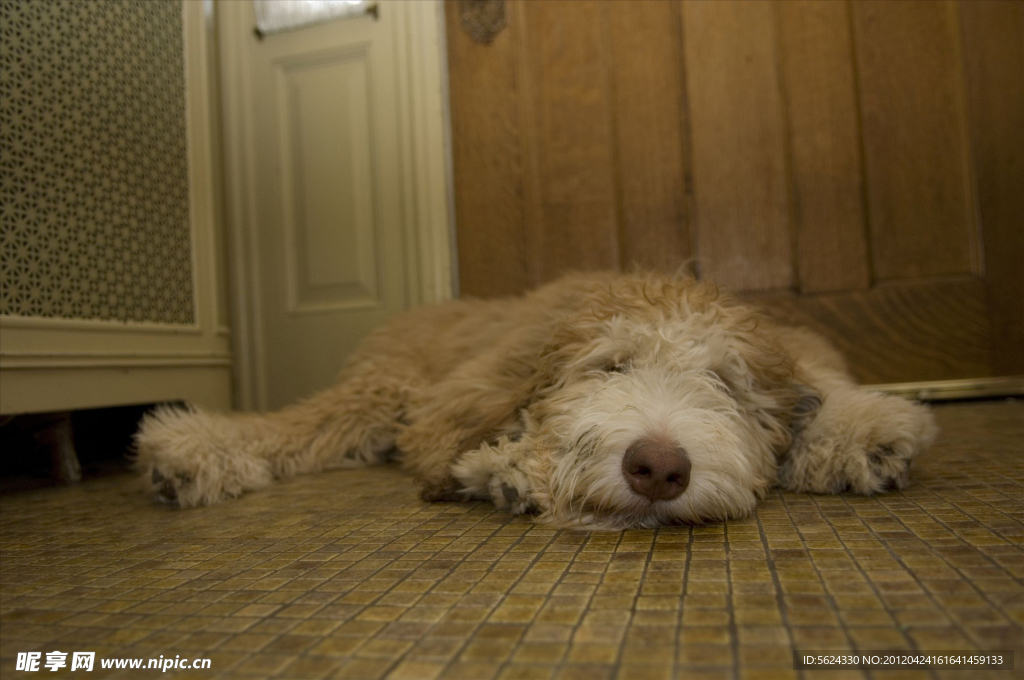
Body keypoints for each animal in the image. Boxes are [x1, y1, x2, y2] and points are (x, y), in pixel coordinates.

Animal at [134, 270, 937, 532]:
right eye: (610, 366)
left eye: (724, 385)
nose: (658, 469)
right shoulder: (462, 393)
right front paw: (514, 468)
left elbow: (824, 388)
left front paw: (859, 431)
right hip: (381, 387)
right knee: (299, 425)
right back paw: (190, 448)